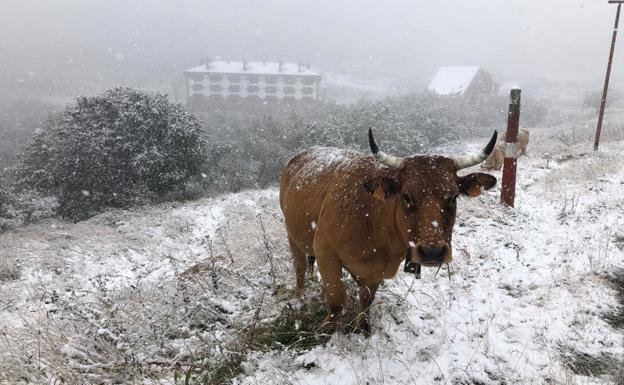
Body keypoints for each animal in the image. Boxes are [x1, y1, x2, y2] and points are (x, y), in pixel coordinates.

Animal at [278, 130, 498, 332]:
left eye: (453, 196)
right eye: (406, 196)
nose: (432, 252)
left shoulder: (377, 271)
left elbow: (366, 300)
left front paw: (363, 329)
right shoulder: (326, 253)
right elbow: (337, 301)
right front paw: (326, 330)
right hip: (292, 236)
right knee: (299, 267)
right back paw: (300, 296)